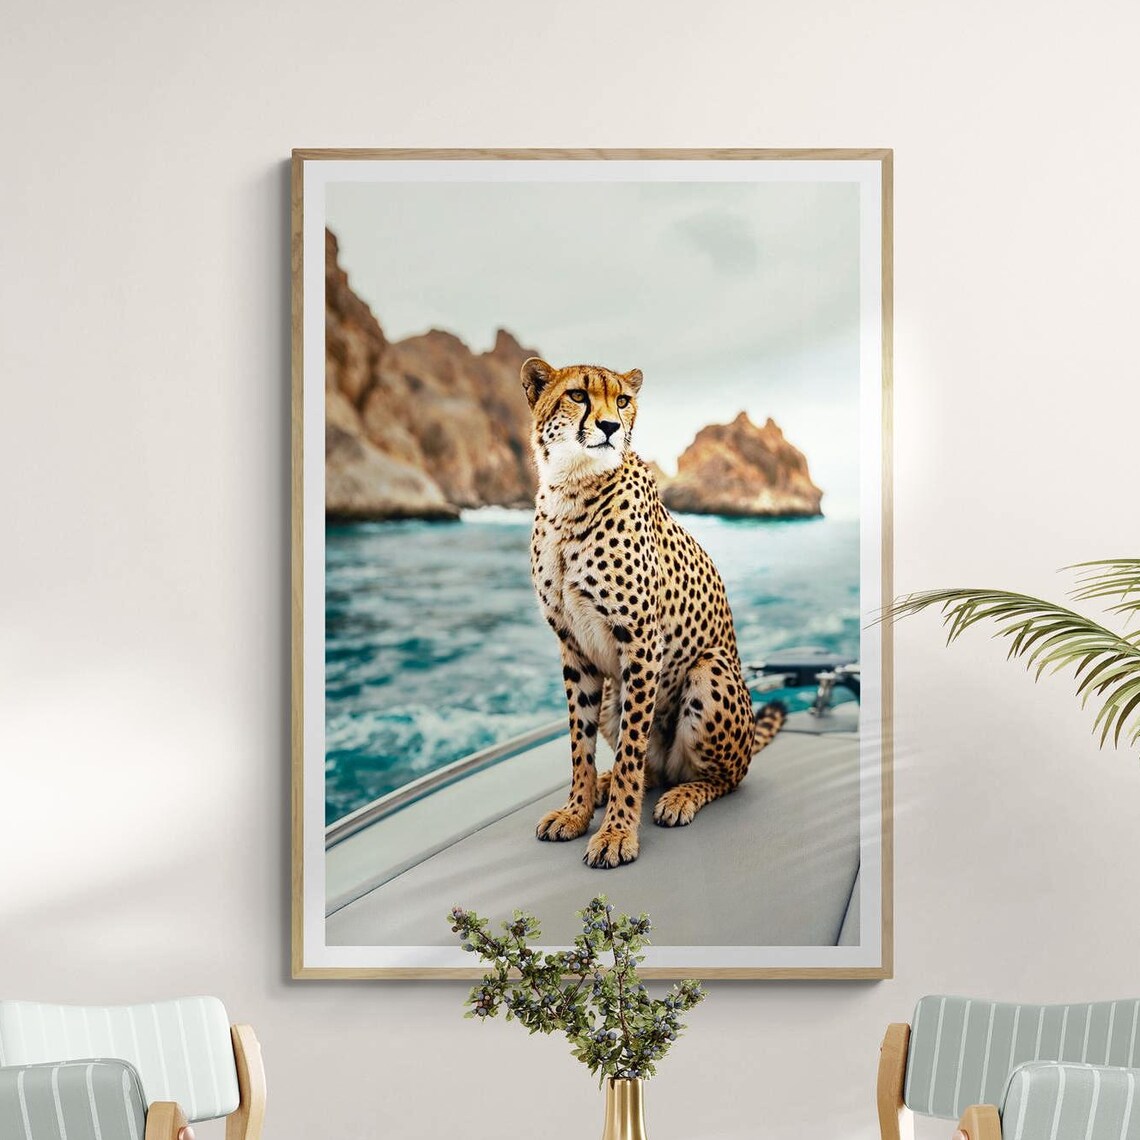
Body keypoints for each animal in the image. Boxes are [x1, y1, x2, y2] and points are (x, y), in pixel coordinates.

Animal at [521, 357, 786, 869]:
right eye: (578, 395)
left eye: (623, 400)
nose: (609, 427)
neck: (571, 487)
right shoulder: (573, 646)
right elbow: (580, 744)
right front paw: (577, 810)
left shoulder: (642, 641)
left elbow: (630, 751)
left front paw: (617, 833)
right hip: (614, 693)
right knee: (652, 767)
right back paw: (609, 787)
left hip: (710, 670)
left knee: (721, 778)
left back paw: (680, 796)